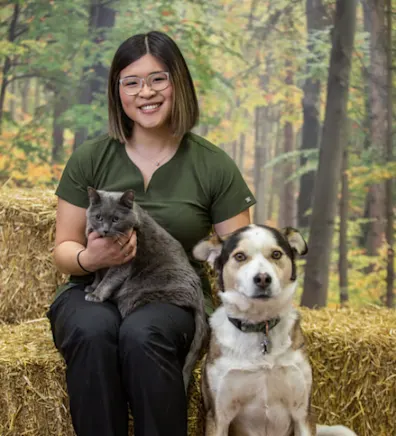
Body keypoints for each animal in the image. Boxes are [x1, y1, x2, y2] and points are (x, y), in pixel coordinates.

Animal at [83, 186, 207, 390]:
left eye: (116, 219)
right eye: (98, 217)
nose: (105, 230)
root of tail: (199, 298)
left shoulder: (123, 263)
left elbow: (108, 280)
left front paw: (96, 295)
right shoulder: (98, 258)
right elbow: (98, 272)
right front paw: (91, 288)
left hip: (139, 295)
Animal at [193, 225, 358, 436]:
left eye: (276, 254)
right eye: (240, 256)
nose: (263, 278)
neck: (260, 327)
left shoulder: (302, 412)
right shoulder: (219, 416)